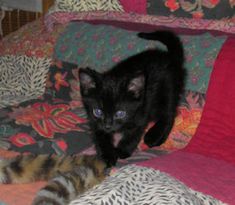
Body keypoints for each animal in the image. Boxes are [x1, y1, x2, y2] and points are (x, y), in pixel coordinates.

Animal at [80, 31, 186, 167]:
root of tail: (170, 57)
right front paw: (107, 155)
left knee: (169, 114)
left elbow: (133, 134)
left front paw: (122, 150)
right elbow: (100, 136)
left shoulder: (141, 111)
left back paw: (154, 137)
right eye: (98, 112)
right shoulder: (94, 120)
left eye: (120, 113)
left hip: (168, 90)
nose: (108, 125)